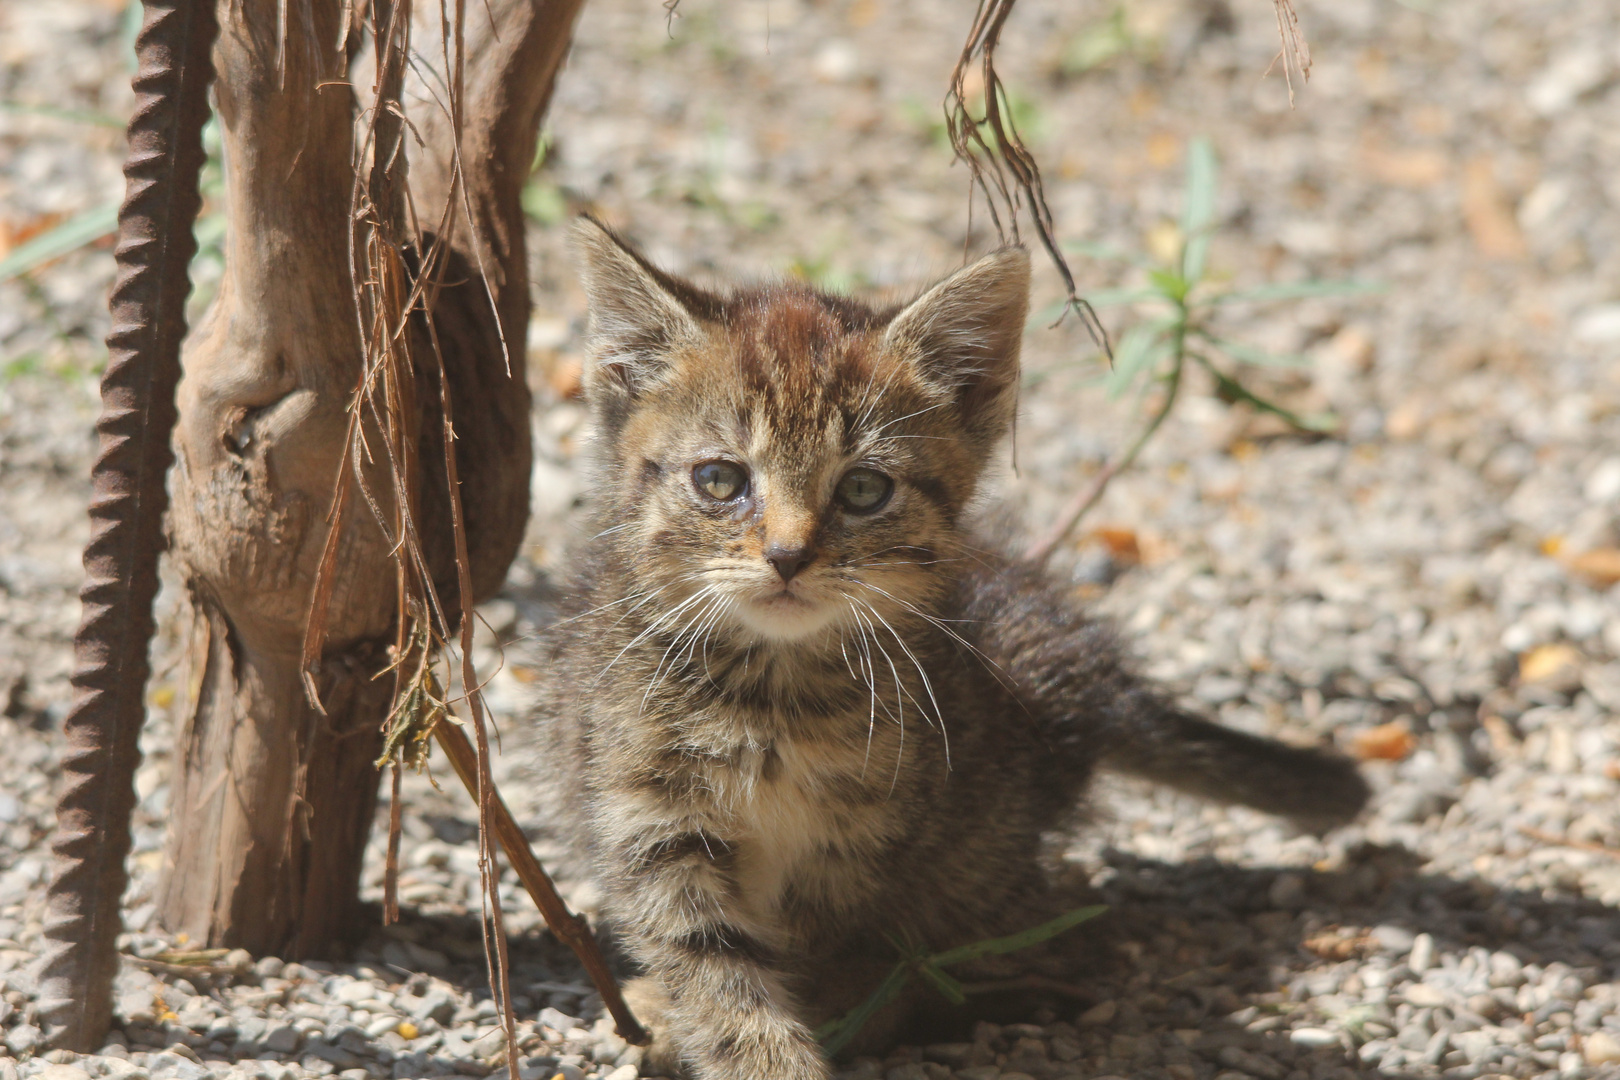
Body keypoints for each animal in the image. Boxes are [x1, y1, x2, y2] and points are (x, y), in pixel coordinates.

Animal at [524, 220, 1373, 1080]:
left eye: (864, 490)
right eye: (720, 480)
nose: (789, 556)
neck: (773, 696)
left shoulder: (865, 842)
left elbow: (814, 956)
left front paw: (828, 1017)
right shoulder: (651, 820)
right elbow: (712, 970)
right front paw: (755, 1047)